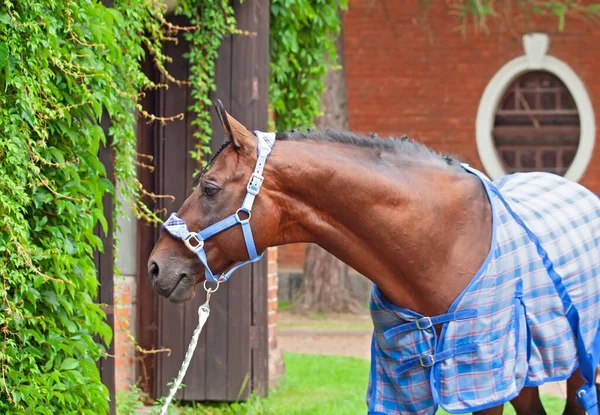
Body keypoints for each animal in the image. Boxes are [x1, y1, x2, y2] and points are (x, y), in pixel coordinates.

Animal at [148, 101, 600, 415]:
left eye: (209, 187)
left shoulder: (480, 385)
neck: (441, 240)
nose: (156, 266)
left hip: (577, 367)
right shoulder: (400, 382)